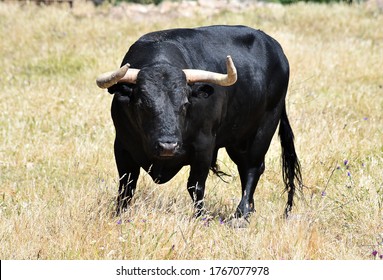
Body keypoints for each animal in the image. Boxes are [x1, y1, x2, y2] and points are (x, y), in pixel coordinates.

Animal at [97, 24, 304, 221]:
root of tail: (275, 48)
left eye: (185, 103)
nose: (167, 146)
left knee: (253, 168)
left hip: (264, 128)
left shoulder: (204, 146)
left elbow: (195, 186)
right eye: (142, 104)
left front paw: (200, 218)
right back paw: (248, 210)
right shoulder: (122, 146)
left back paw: (241, 214)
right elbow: (126, 185)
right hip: (237, 139)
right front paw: (119, 215)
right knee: (244, 168)